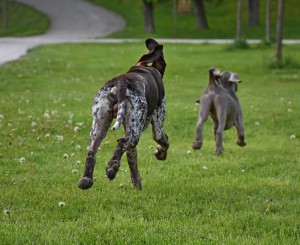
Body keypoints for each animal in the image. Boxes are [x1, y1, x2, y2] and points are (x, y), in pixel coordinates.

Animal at [78, 39, 169, 190]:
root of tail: (121, 83)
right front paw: (160, 153)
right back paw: (112, 167)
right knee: (122, 143)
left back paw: (86, 179)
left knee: (92, 152)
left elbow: (132, 160)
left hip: (99, 126)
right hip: (134, 132)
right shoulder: (157, 125)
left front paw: (136, 183)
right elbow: (164, 141)